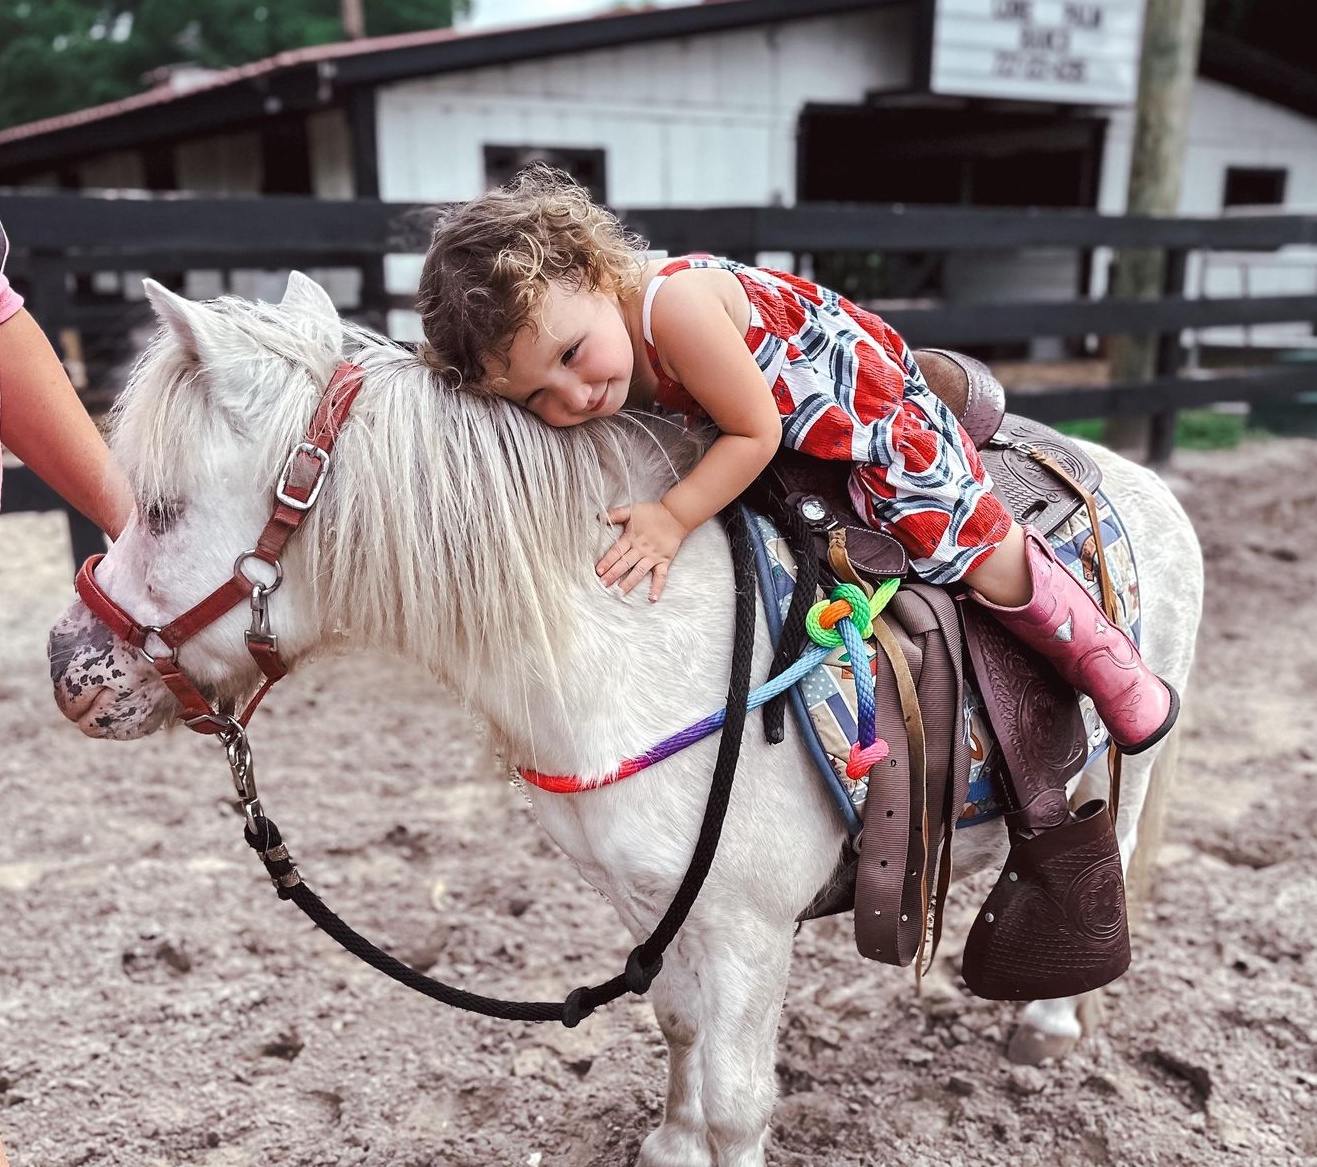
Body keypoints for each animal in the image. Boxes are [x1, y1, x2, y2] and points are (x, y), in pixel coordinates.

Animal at [48, 276, 1206, 1167]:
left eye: (162, 509)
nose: (67, 668)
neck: (625, 643)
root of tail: (1137, 477)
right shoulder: (649, 899)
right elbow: (676, 1026)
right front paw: (669, 1144)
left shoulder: (745, 929)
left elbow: (739, 1100)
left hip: (1121, 769)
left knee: (1095, 846)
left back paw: (1048, 1020)